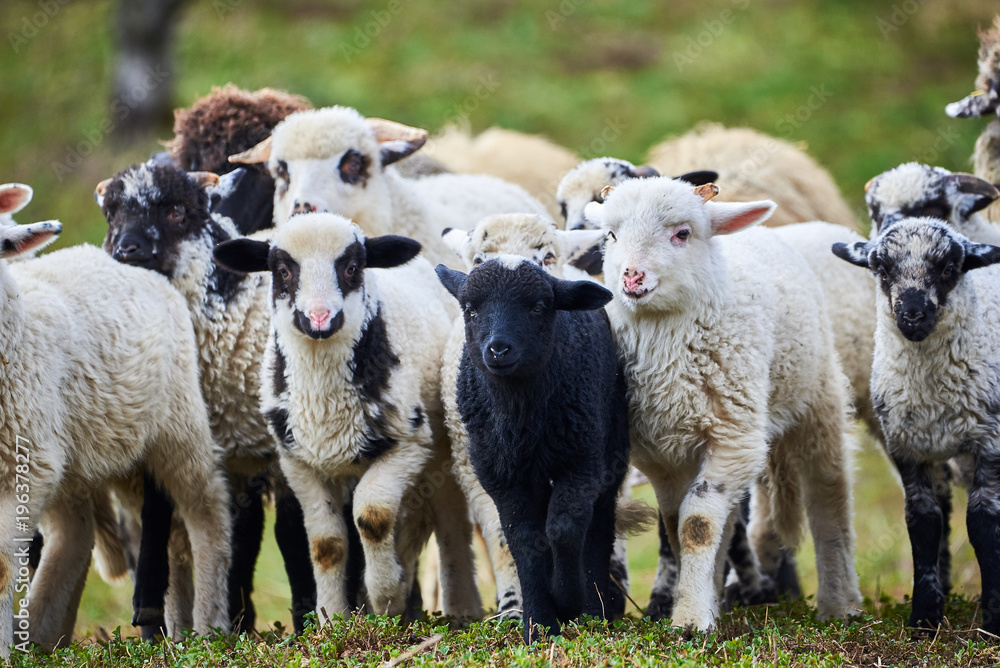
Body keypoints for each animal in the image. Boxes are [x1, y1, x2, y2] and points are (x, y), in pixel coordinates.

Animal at [0, 221, 231, 656]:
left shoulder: (26, 465)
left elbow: (3, 565)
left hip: (176, 423)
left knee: (207, 509)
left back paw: (210, 627)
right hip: (97, 449)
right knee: (80, 534)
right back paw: (43, 635)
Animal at [211, 213, 481, 621]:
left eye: (352, 268)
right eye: (283, 271)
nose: (320, 318)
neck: (325, 405)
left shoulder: (410, 443)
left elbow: (372, 516)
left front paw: (385, 598)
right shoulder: (298, 461)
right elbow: (326, 543)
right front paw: (332, 617)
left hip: (445, 447)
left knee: (451, 522)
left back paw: (462, 610)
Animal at [434, 256, 628, 642]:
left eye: (539, 307)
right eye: (470, 309)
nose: (497, 349)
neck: (519, 416)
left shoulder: (582, 462)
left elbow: (564, 528)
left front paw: (567, 599)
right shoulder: (500, 476)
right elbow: (523, 538)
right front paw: (539, 625)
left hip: (609, 447)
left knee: (598, 527)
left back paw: (595, 610)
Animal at [586, 177, 861, 631]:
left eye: (682, 234)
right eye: (610, 235)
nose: (632, 277)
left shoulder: (733, 436)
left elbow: (696, 524)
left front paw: (688, 621)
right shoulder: (663, 455)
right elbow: (680, 526)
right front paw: (697, 606)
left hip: (816, 398)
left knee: (828, 497)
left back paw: (839, 603)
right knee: (728, 519)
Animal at [832, 218, 1000, 636]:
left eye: (949, 268)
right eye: (882, 269)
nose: (911, 315)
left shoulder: (990, 440)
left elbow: (984, 523)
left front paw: (994, 619)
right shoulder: (907, 447)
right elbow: (922, 522)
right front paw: (924, 619)